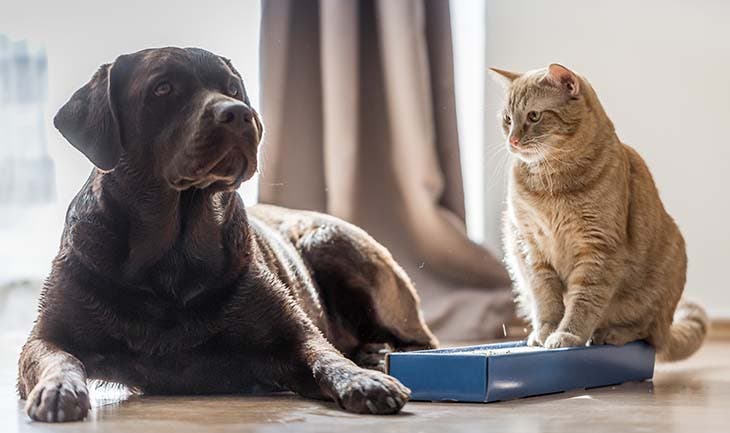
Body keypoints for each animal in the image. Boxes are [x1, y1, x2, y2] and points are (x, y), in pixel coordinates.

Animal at [18, 48, 438, 422]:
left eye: (233, 88)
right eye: (163, 88)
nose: (238, 113)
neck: (172, 254)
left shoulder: (296, 336)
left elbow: (327, 355)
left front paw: (362, 381)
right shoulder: (46, 336)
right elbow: (59, 358)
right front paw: (59, 389)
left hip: (332, 244)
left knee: (421, 341)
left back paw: (376, 356)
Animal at [490, 64, 704, 360]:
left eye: (534, 116)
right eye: (508, 119)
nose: (513, 140)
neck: (552, 183)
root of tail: (668, 324)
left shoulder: (598, 249)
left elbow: (584, 301)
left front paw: (568, 335)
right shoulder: (531, 249)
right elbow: (546, 300)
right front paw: (546, 331)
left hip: (661, 277)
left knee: (646, 333)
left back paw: (611, 334)